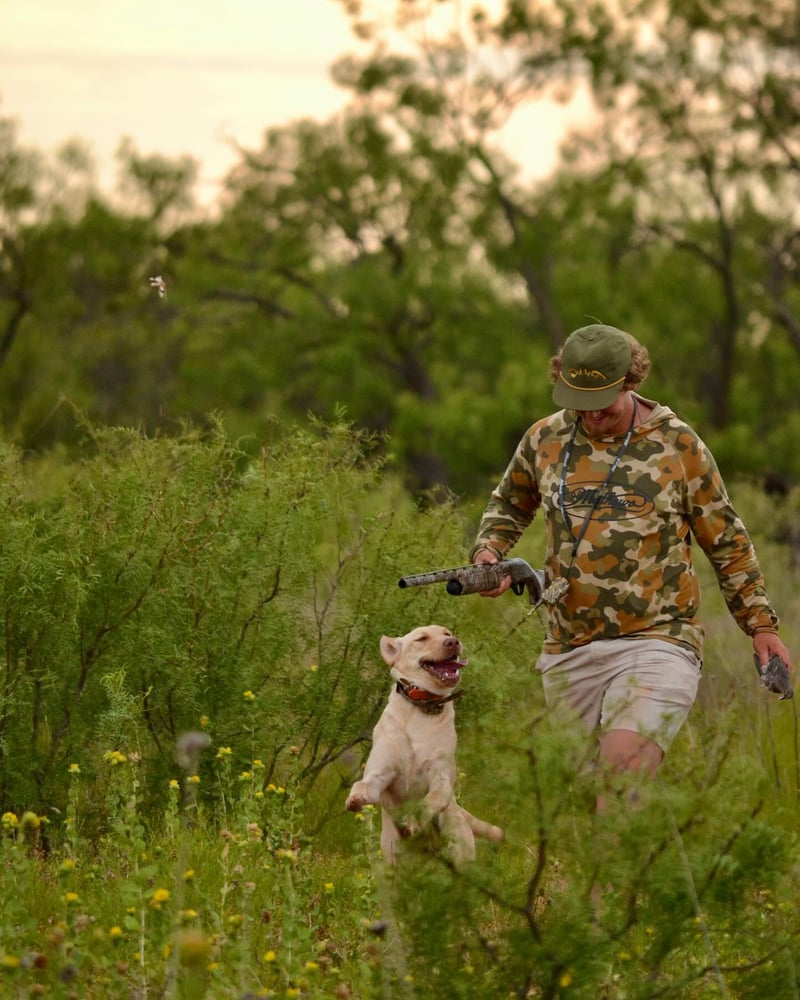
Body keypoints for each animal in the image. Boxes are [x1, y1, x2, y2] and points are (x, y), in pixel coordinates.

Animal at [346, 624, 504, 868]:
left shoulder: (441, 780)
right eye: (421, 638)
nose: (453, 642)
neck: (421, 708)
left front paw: (413, 822)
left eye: (447, 634)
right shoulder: (381, 774)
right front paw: (357, 798)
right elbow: (362, 785)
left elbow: (429, 802)